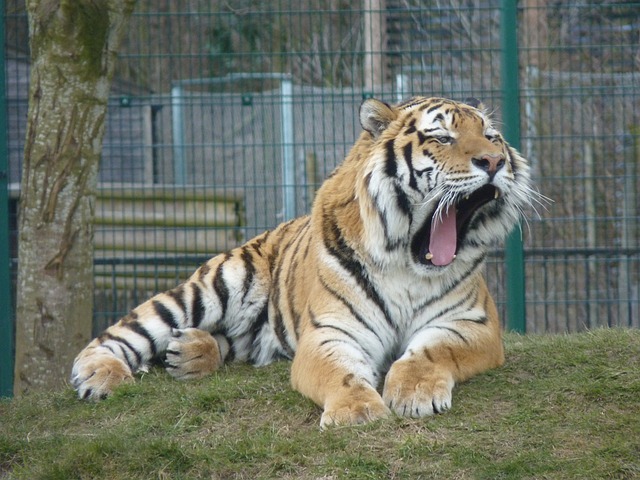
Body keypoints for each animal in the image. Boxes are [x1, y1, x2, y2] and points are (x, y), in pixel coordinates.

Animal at [70, 95, 532, 426]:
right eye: (442, 138)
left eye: (491, 137)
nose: (494, 161)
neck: (408, 263)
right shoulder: (330, 332)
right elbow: (341, 373)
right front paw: (356, 412)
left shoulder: (472, 323)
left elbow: (431, 351)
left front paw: (414, 395)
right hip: (212, 286)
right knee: (120, 333)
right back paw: (100, 376)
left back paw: (189, 352)